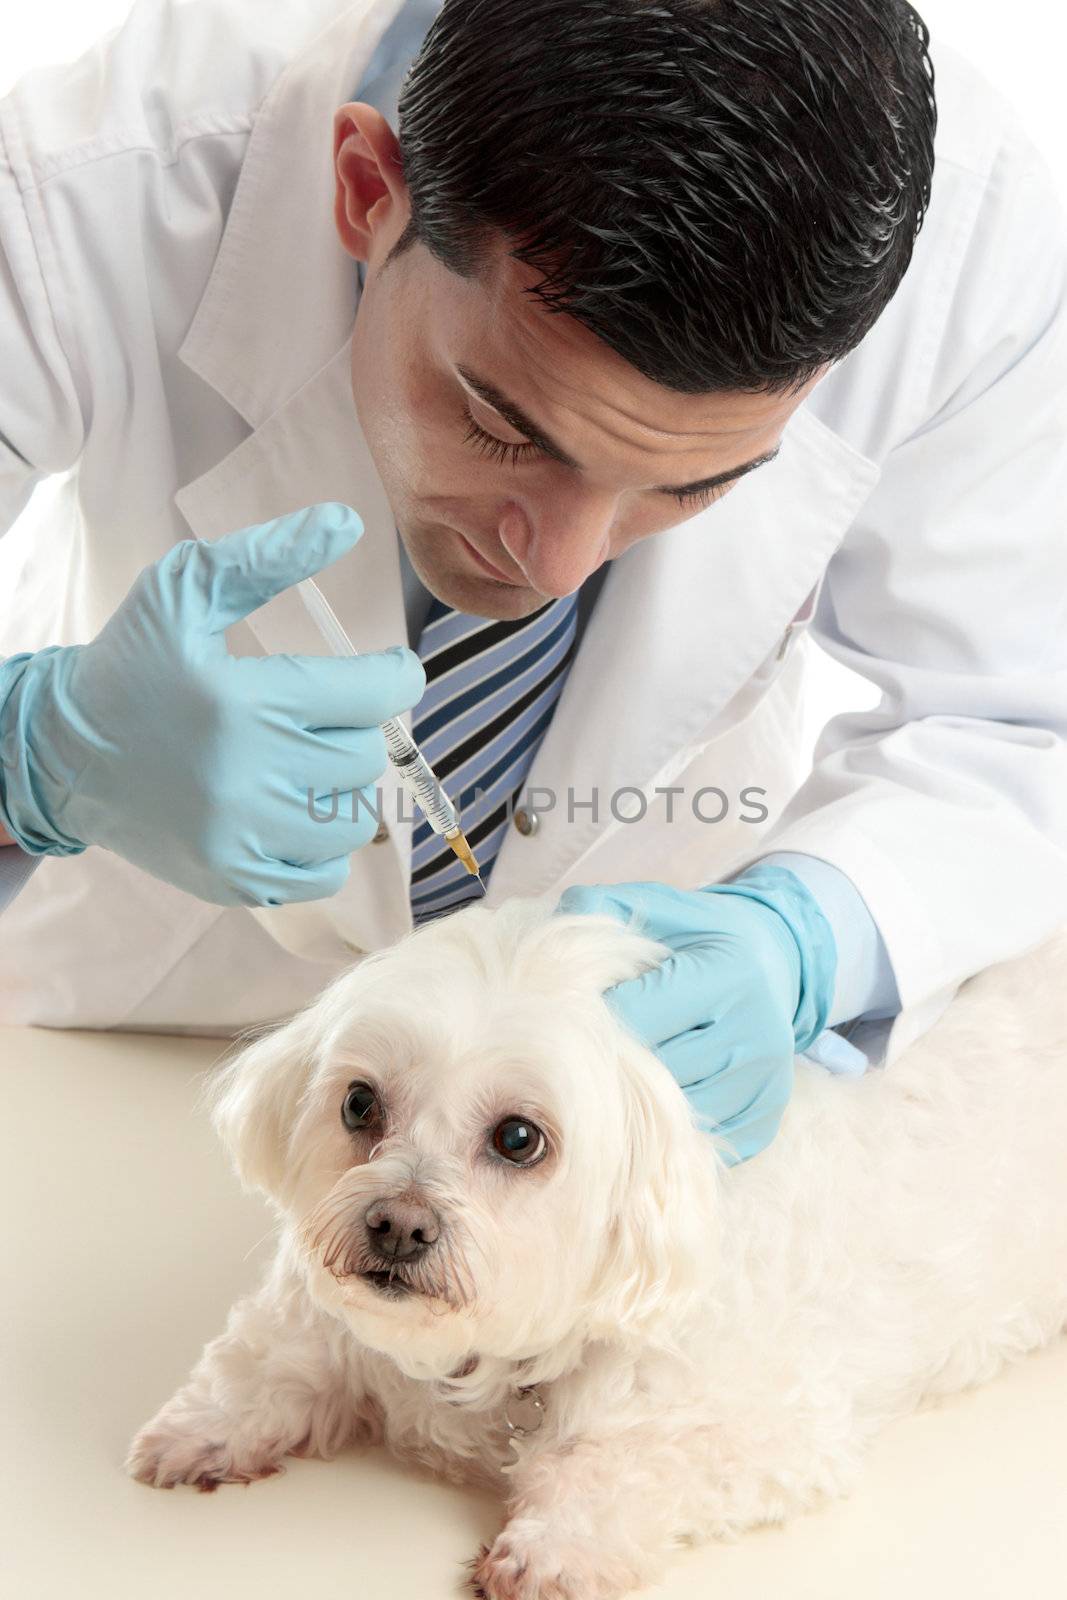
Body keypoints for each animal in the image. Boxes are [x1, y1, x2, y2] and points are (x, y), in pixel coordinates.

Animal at [129, 896, 1067, 1593]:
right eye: (359, 1103)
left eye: (518, 1138)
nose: (395, 1224)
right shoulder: (323, 1317)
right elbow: (268, 1360)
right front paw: (207, 1430)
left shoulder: (765, 1427)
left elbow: (621, 1463)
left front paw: (554, 1545)